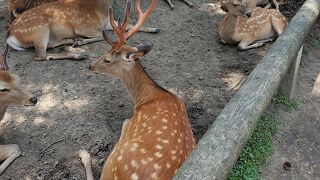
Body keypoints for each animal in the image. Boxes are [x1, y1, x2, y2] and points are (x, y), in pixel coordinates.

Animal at [7, 0, 161, 61]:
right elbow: (101, 35)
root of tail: (10, 35)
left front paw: (155, 28)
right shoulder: (82, 26)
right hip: (40, 30)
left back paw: (71, 41)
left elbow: (130, 26)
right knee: (40, 55)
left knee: (50, 46)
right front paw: (80, 41)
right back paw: (77, 54)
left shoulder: (108, 22)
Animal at [79, 0, 196, 179]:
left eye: (108, 59)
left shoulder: (128, 123)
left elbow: (124, 121)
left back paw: (84, 154)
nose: (90, 65)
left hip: (115, 159)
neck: (146, 97)